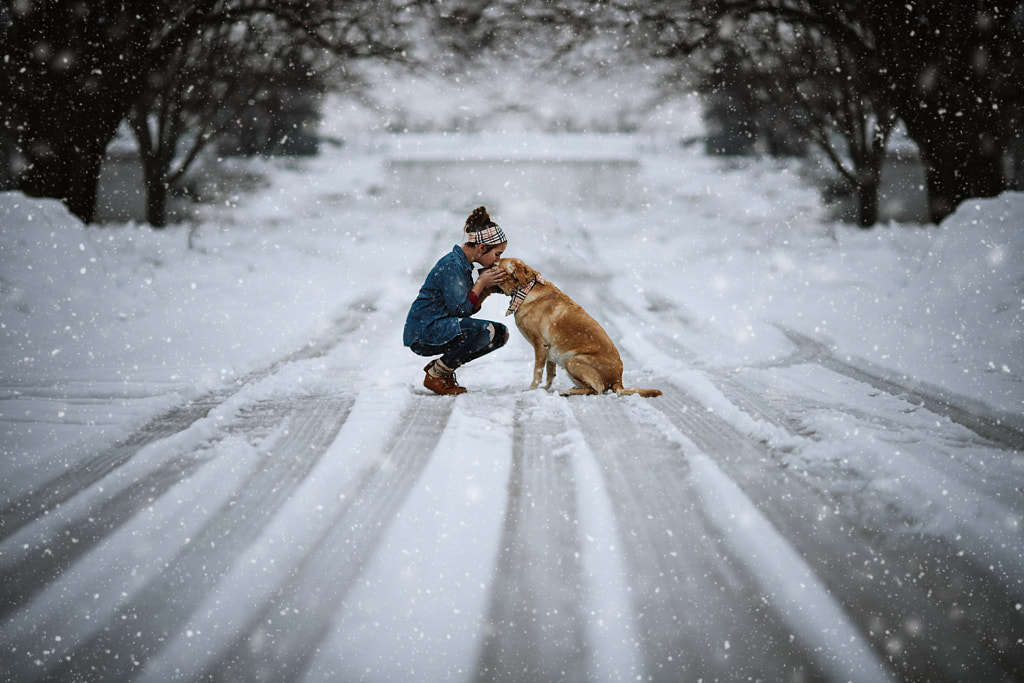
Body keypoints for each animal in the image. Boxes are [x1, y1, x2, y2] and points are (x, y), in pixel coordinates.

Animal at [495, 255, 663, 397]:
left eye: (495, 265)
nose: (486, 266)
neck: (526, 289)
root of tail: (618, 380)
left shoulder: (540, 346)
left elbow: (537, 373)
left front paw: (531, 390)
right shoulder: (550, 350)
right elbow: (550, 374)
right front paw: (544, 389)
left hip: (572, 360)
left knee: (595, 390)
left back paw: (568, 391)